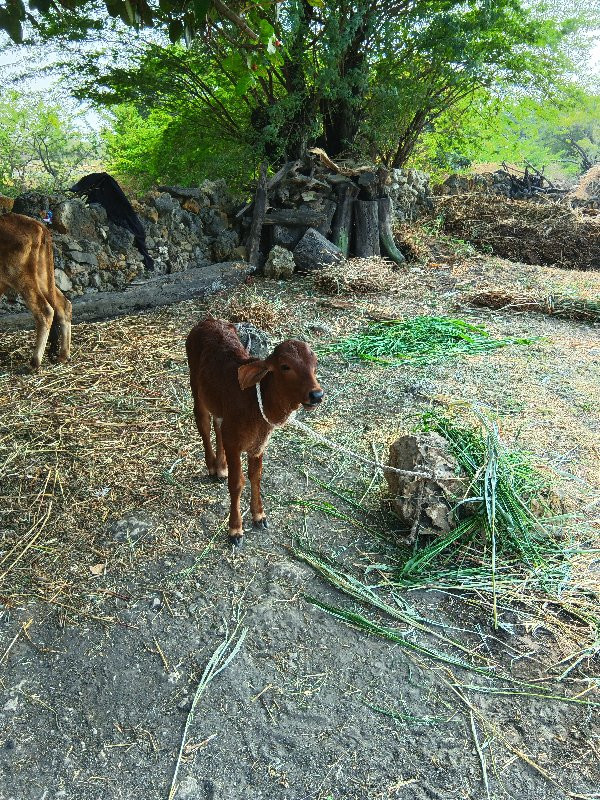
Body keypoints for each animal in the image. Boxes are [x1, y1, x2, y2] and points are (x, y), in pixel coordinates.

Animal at [0, 209, 71, 366]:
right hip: (42, 277)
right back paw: (63, 355)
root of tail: (38, 225)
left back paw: (35, 362)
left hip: (20, 277)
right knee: (64, 305)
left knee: (46, 311)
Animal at [186, 316, 324, 548]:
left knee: (217, 424)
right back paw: (213, 466)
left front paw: (259, 516)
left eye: (315, 365)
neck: (257, 403)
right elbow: (237, 483)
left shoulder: (258, 444)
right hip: (195, 386)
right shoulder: (234, 444)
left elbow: (256, 477)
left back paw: (221, 468)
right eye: (285, 366)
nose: (316, 395)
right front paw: (235, 529)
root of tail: (208, 320)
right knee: (203, 422)